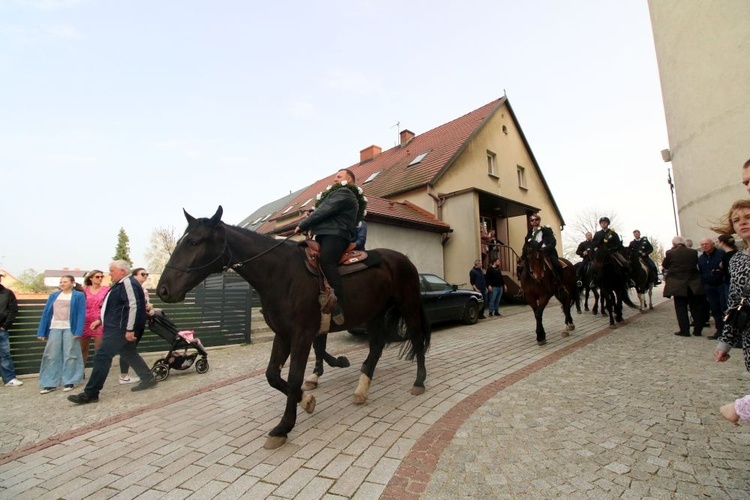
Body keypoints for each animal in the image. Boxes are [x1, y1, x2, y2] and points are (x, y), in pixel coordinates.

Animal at [156, 207, 432, 450]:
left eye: (194, 242)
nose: (163, 290)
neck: (280, 274)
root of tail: (404, 259)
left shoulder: (302, 335)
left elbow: (294, 376)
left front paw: (283, 427)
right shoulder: (283, 335)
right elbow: (273, 375)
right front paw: (307, 401)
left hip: (407, 306)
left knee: (417, 339)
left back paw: (419, 381)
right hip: (375, 314)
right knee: (375, 348)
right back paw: (362, 389)